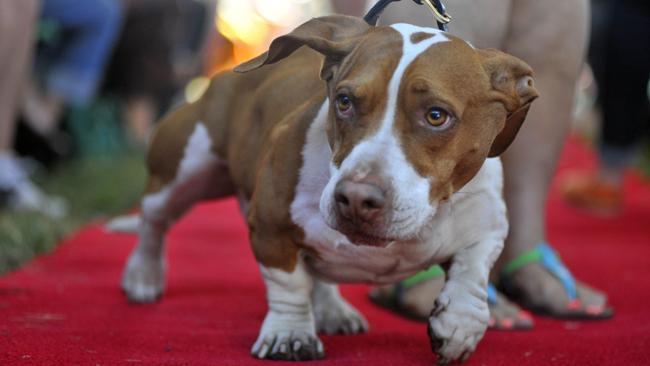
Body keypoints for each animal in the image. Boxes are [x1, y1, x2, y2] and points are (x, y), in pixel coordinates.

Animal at [121, 15, 536, 364]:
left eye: (437, 116)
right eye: (345, 101)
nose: (356, 199)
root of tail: (224, 77)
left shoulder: (488, 223)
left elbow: (473, 270)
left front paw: (459, 324)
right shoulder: (271, 226)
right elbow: (287, 284)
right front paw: (289, 333)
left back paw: (332, 308)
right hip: (184, 168)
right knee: (153, 219)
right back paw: (143, 275)